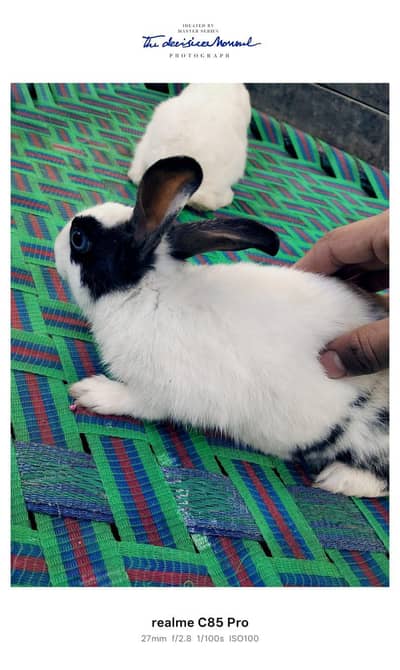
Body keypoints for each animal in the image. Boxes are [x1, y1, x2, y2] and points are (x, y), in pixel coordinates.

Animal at [55, 156, 389, 498]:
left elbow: (138, 403)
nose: (57, 240)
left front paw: (92, 392)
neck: (148, 292)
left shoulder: (163, 390)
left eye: (78, 239)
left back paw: (339, 479)